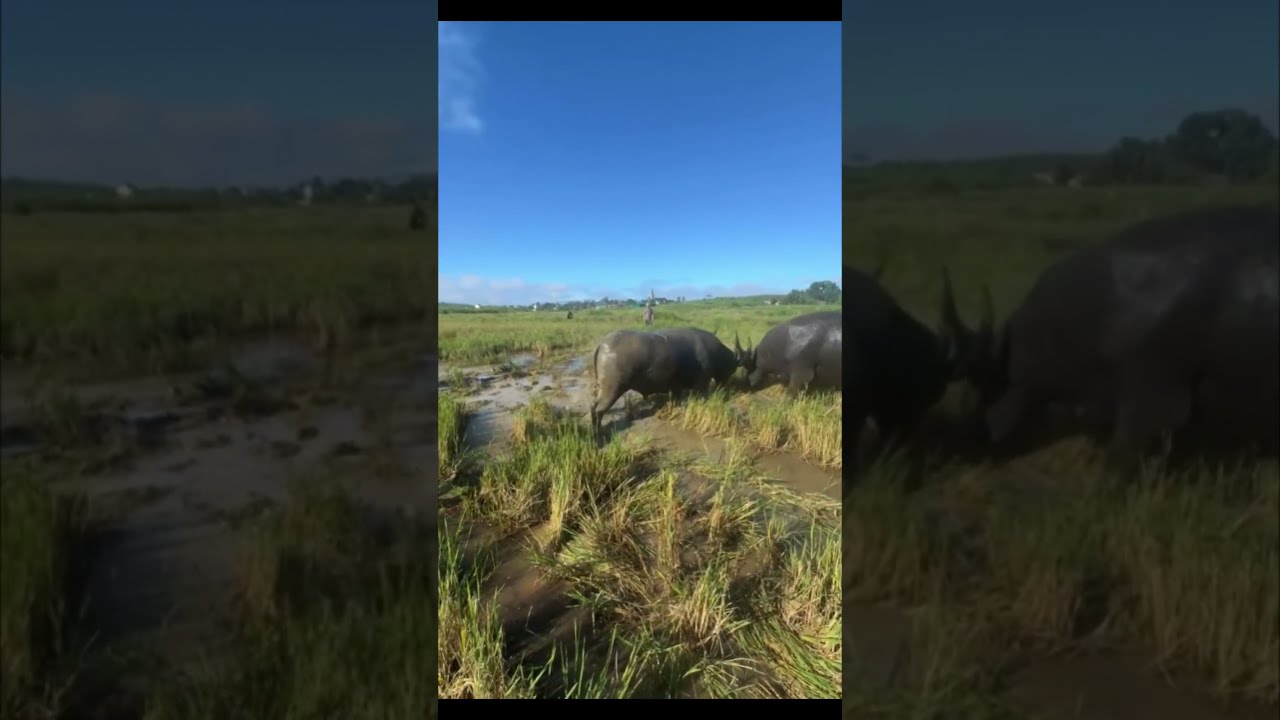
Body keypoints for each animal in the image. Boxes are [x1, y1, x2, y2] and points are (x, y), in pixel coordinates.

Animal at [589, 328, 740, 435]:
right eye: (732, 367)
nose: (726, 385)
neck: (715, 352)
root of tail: (603, 344)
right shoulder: (701, 384)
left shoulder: (676, 388)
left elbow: (676, 400)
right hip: (612, 389)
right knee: (598, 410)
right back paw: (598, 432)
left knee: (593, 407)